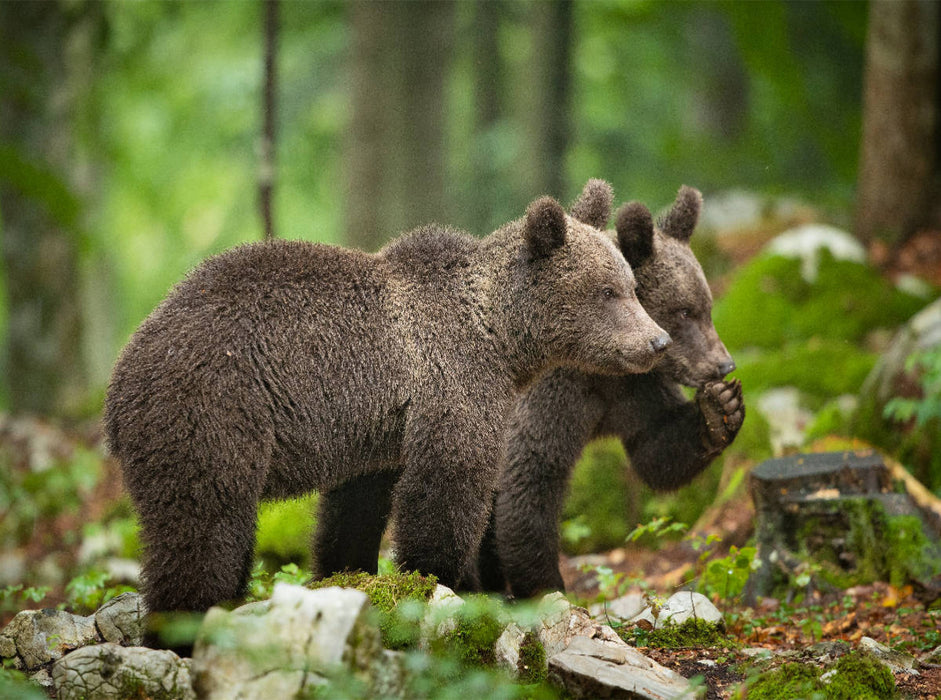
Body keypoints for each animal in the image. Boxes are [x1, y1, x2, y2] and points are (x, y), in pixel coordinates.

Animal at [103, 178, 668, 628]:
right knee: (202, 525)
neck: (499, 335)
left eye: (631, 285)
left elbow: (355, 508)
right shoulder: (450, 383)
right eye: (606, 291)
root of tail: (119, 381)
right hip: (212, 411)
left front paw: (349, 574)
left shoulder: (376, 424)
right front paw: (448, 581)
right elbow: (446, 490)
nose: (657, 341)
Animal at [482, 186, 744, 596]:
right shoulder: (551, 398)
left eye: (707, 308)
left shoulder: (635, 391)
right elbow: (530, 478)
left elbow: (656, 448)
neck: (601, 368)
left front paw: (720, 409)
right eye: (684, 311)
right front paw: (546, 585)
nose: (724, 365)